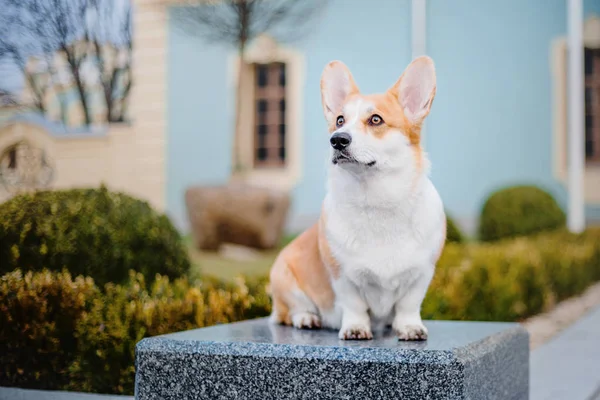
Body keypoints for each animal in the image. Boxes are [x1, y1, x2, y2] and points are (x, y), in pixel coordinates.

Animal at [268, 55, 446, 340]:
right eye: (340, 120)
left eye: (376, 119)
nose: (337, 140)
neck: (376, 198)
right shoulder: (343, 276)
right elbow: (354, 305)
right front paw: (355, 328)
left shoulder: (421, 274)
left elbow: (409, 305)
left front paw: (409, 327)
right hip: (283, 277)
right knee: (291, 311)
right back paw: (307, 319)